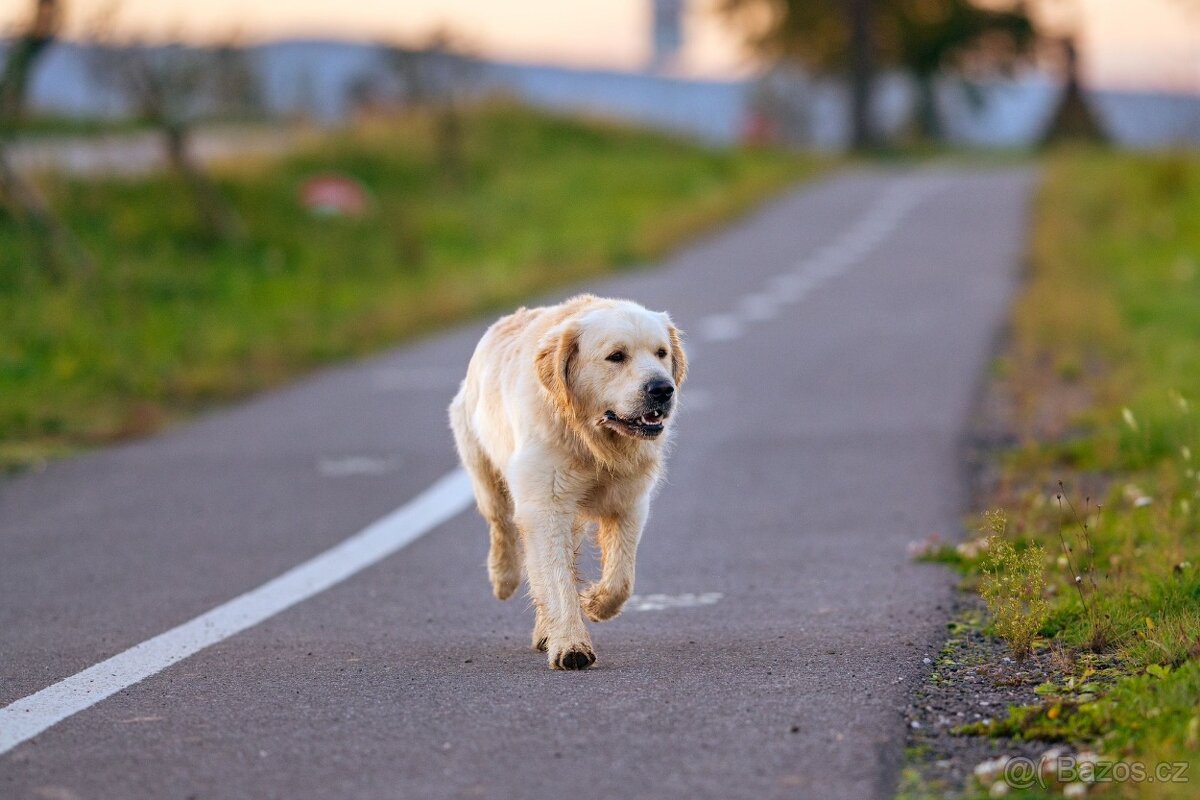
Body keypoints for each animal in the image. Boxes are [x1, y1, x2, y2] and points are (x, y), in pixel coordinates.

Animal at [451, 293, 691, 671]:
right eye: (616, 356)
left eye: (661, 353)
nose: (662, 389)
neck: (593, 439)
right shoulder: (545, 503)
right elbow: (555, 577)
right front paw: (571, 647)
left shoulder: (629, 502)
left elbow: (621, 577)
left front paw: (594, 603)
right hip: (485, 472)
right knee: (501, 526)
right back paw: (503, 578)